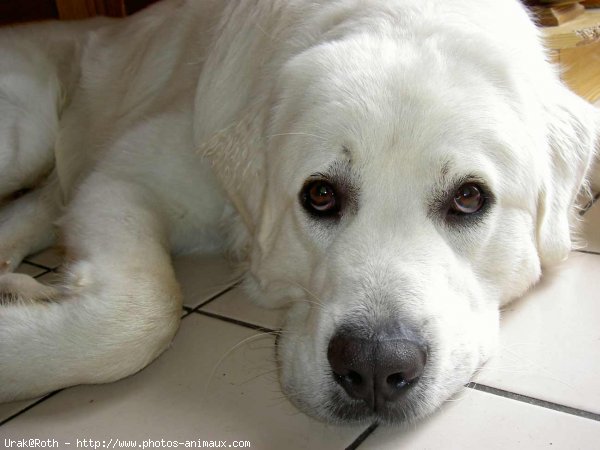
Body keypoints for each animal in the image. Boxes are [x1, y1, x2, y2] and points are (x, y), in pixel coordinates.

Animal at [0, 0, 596, 424]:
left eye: (469, 197)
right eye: (321, 196)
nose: (375, 365)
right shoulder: (127, 176)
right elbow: (142, 315)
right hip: (27, 136)